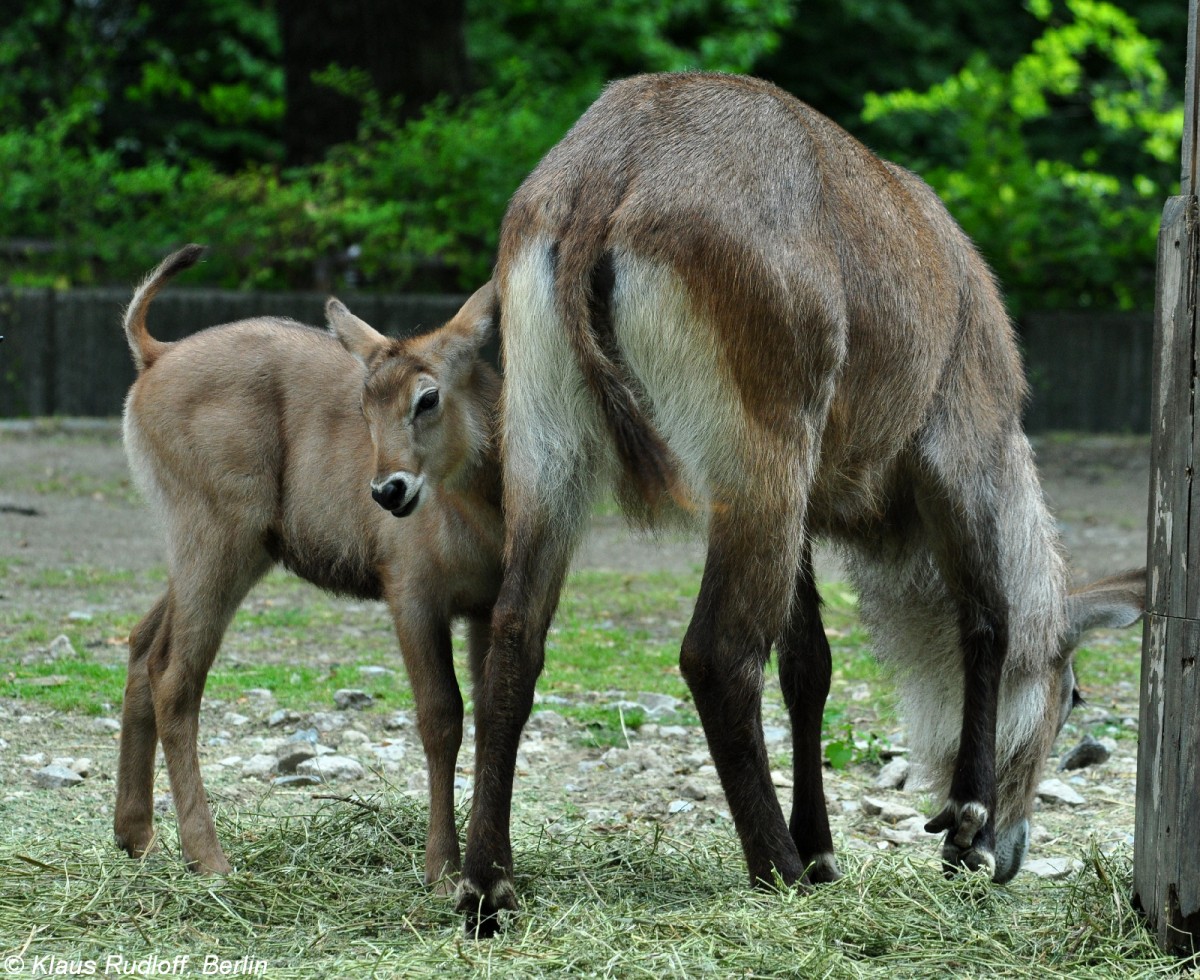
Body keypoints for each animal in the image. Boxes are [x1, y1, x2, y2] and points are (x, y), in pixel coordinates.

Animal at [114, 247, 499, 887]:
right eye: (364, 404)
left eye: (428, 397)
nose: (389, 490)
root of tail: (154, 355)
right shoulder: (413, 595)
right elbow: (442, 716)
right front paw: (442, 868)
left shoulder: (490, 606)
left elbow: (499, 712)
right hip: (217, 542)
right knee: (174, 675)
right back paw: (208, 857)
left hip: (223, 553)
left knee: (144, 643)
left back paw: (135, 834)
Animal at [456, 72, 1142, 930]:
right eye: (1074, 692)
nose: (1013, 853)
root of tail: (609, 167)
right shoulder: (961, 455)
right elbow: (987, 620)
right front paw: (964, 828)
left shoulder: (812, 514)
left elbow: (808, 665)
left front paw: (824, 850)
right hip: (761, 464)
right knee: (716, 654)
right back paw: (773, 868)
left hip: (551, 453)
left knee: (515, 636)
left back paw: (489, 886)